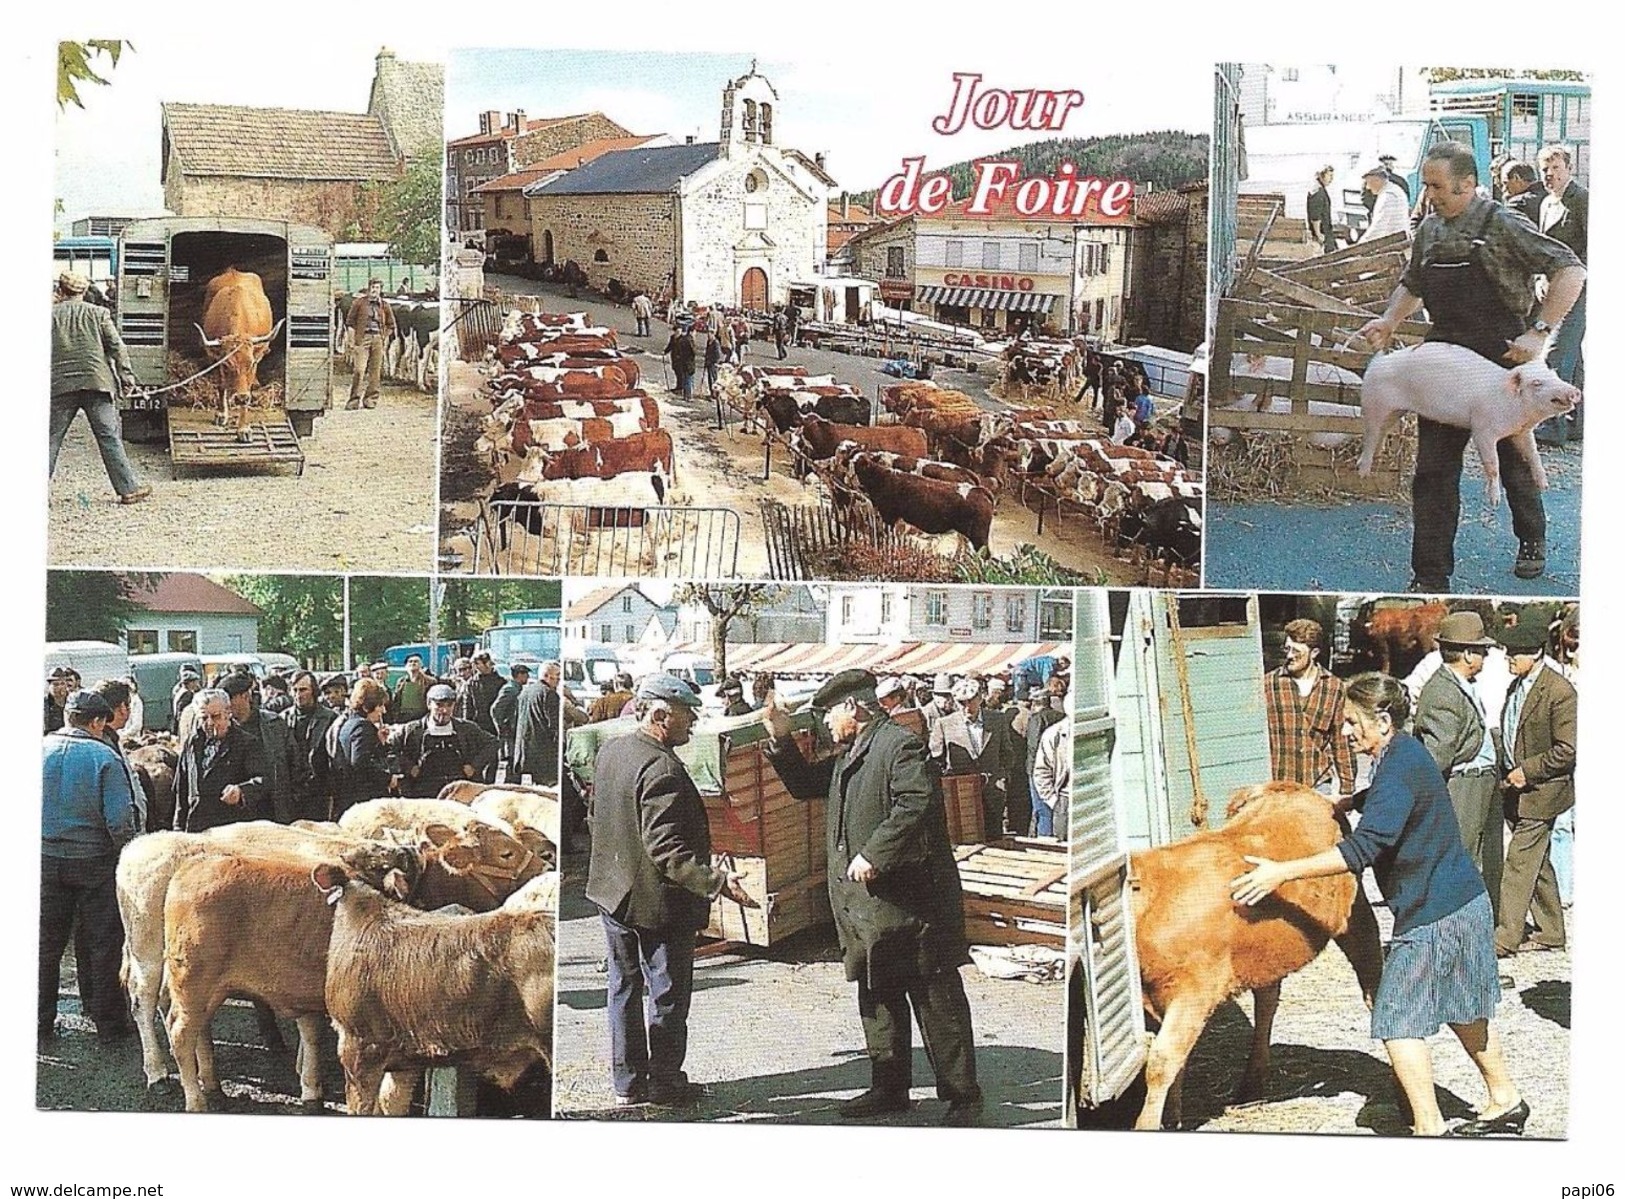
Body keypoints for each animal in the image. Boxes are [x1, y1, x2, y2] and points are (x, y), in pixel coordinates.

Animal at [1365, 337, 1579, 503]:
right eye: (1537, 383)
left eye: (1554, 374)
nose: (1575, 391)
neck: (1518, 413)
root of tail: (1376, 363)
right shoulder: (1482, 430)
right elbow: (1493, 465)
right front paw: (1495, 501)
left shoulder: (1522, 432)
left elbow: (1534, 454)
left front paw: (1544, 485)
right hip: (1374, 404)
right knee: (1370, 434)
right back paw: (1364, 472)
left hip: (1396, 411)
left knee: (1383, 431)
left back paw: (1379, 455)